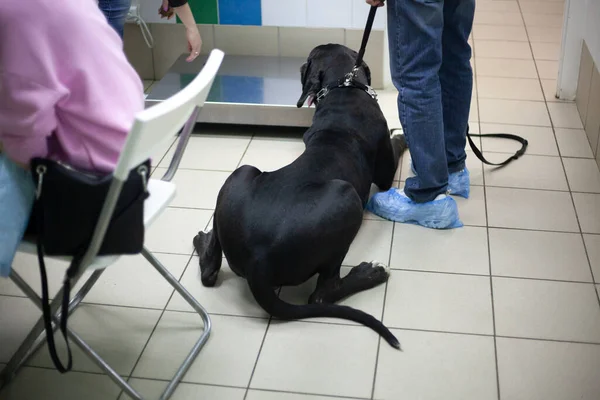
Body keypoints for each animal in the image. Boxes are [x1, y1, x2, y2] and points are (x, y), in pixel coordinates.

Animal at [195, 43, 406, 348]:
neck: (343, 88)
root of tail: (258, 260)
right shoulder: (385, 173)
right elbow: (395, 144)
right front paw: (400, 133)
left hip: (241, 173)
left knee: (209, 269)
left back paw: (202, 239)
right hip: (348, 198)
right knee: (321, 294)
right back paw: (371, 273)